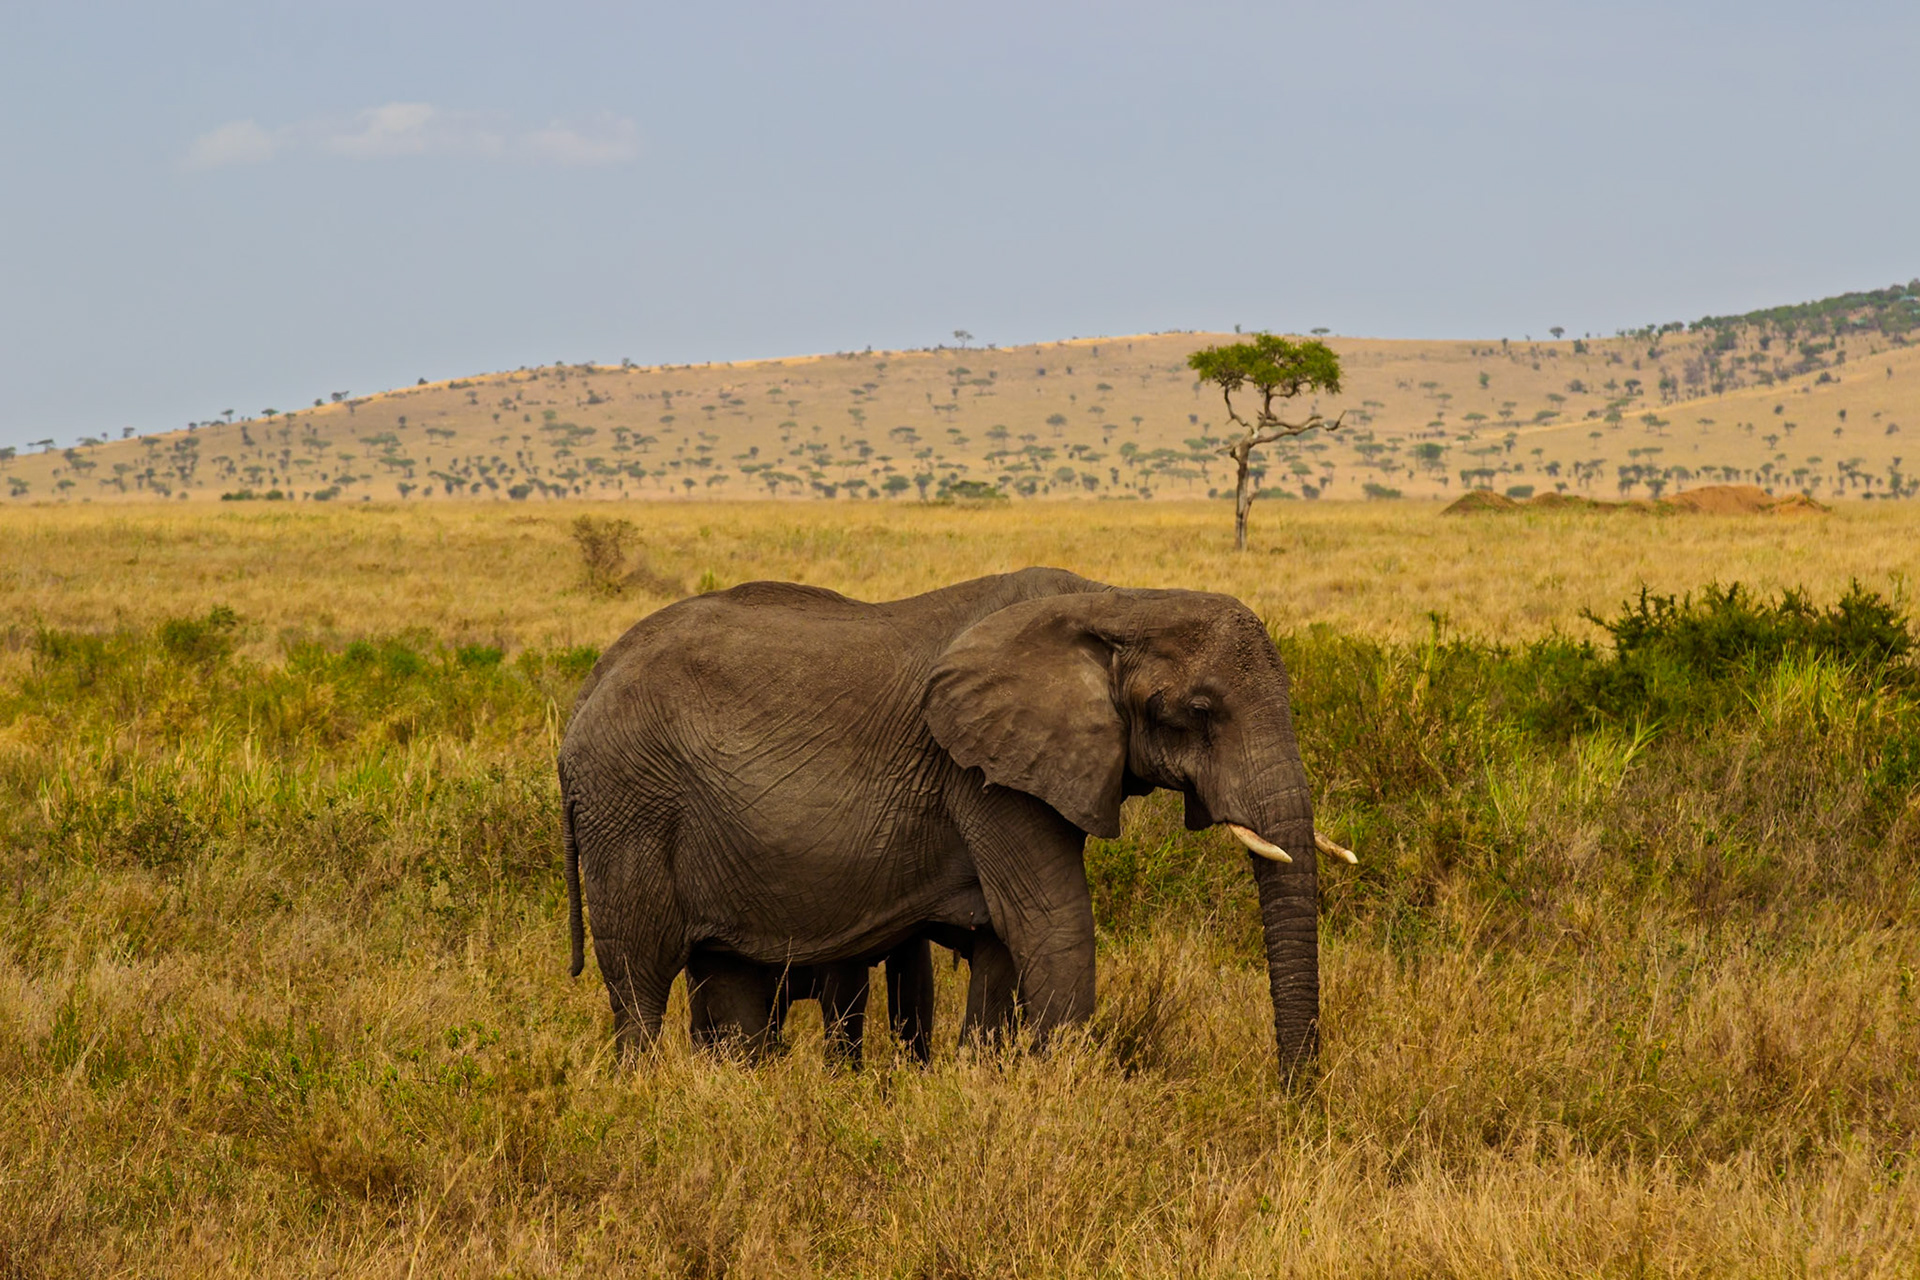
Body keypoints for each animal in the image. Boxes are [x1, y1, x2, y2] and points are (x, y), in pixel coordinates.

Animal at [560, 567, 1340, 1077]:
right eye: (1201, 710)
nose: (1291, 1101)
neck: (1119, 601)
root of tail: (589, 685)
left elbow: (1001, 938)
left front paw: (984, 1083)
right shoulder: (982, 774)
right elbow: (1052, 923)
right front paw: (1063, 1098)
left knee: (731, 984)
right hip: (629, 804)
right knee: (639, 974)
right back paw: (644, 1094)